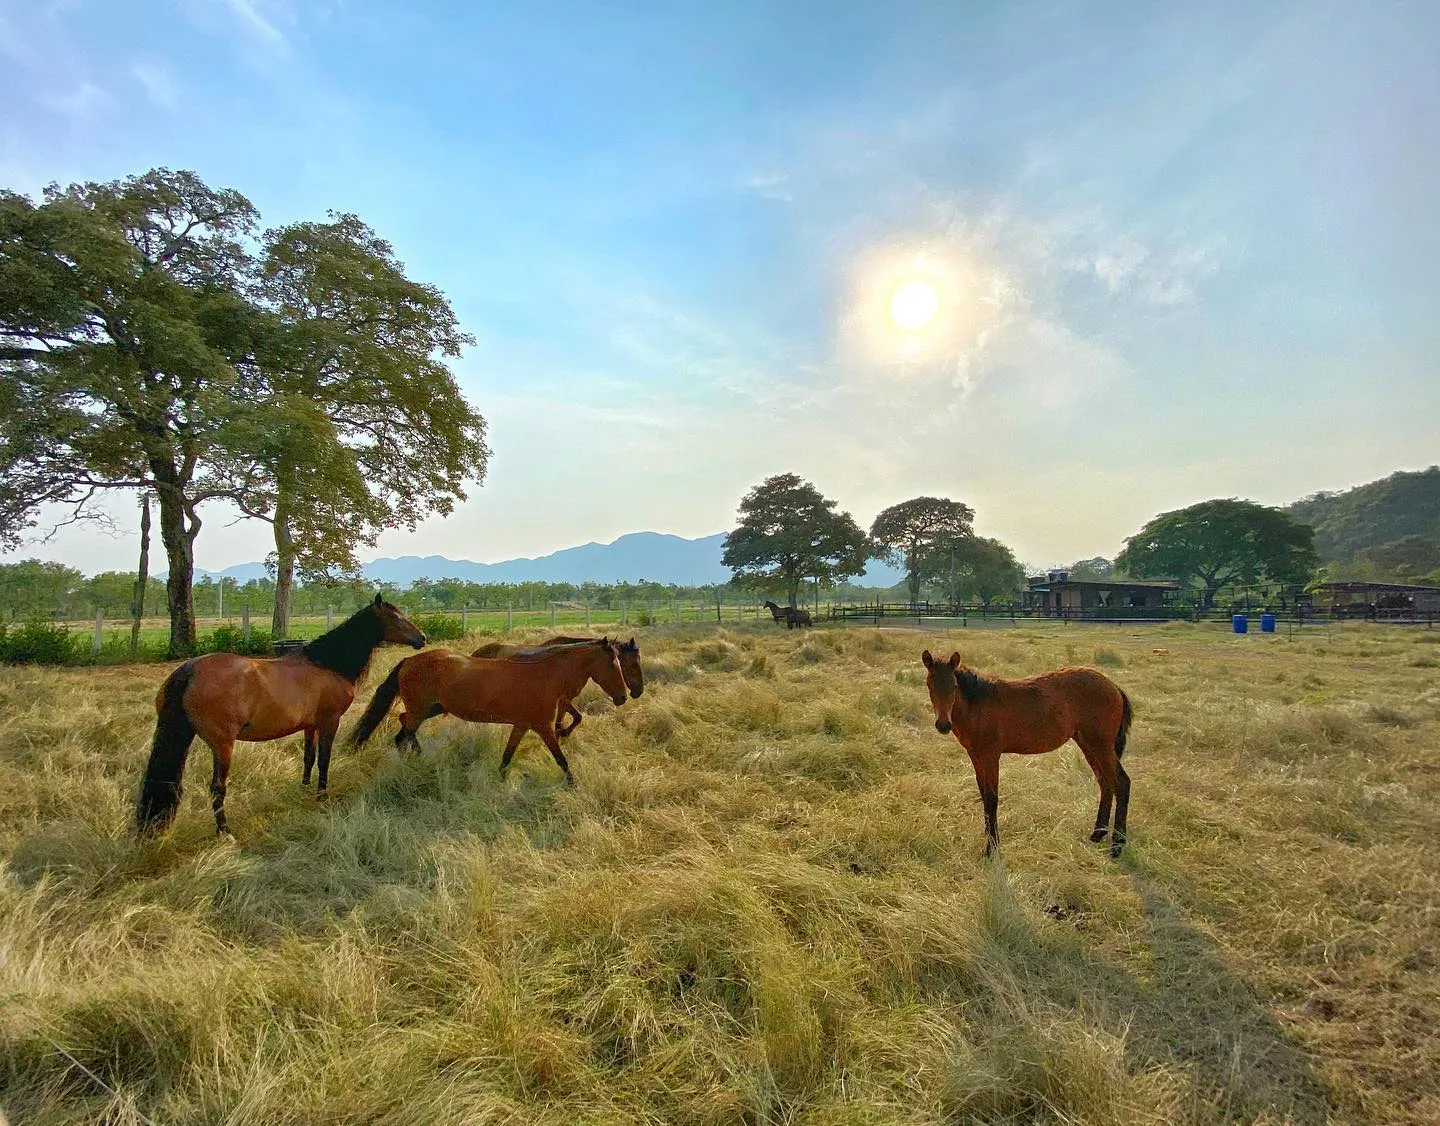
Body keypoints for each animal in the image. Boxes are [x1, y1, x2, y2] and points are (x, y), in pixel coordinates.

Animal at [134, 596, 426, 835]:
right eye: (396, 618)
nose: (422, 638)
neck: (326, 664)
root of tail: (190, 671)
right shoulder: (330, 722)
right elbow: (324, 760)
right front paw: (322, 795)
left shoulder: (310, 725)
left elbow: (309, 758)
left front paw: (305, 789)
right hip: (222, 745)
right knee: (217, 787)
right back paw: (225, 832)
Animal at [351, 639, 627, 789]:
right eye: (613, 664)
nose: (623, 697)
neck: (546, 676)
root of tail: (408, 660)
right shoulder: (543, 726)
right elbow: (561, 759)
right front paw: (573, 784)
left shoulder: (522, 725)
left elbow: (507, 756)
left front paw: (500, 779)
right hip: (421, 710)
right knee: (402, 736)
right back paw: (413, 765)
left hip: (430, 709)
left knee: (404, 727)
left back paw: (420, 759)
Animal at [469, 633, 645, 742]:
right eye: (631, 665)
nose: (636, 692)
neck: (569, 665)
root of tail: (475, 654)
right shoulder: (562, 699)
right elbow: (576, 718)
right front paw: (562, 734)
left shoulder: (564, 701)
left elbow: (567, 720)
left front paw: (560, 735)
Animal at [921, 647, 1134, 858]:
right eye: (929, 684)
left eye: (954, 685)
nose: (943, 725)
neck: (978, 705)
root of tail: (1114, 686)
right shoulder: (976, 756)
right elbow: (983, 795)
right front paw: (988, 835)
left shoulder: (991, 756)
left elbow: (991, 798)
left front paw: (991, 848)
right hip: (1088, 744)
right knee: (1105, 782)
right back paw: (1097, 834)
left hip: (1101, 746)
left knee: (1121, 783)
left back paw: (1117, 845)